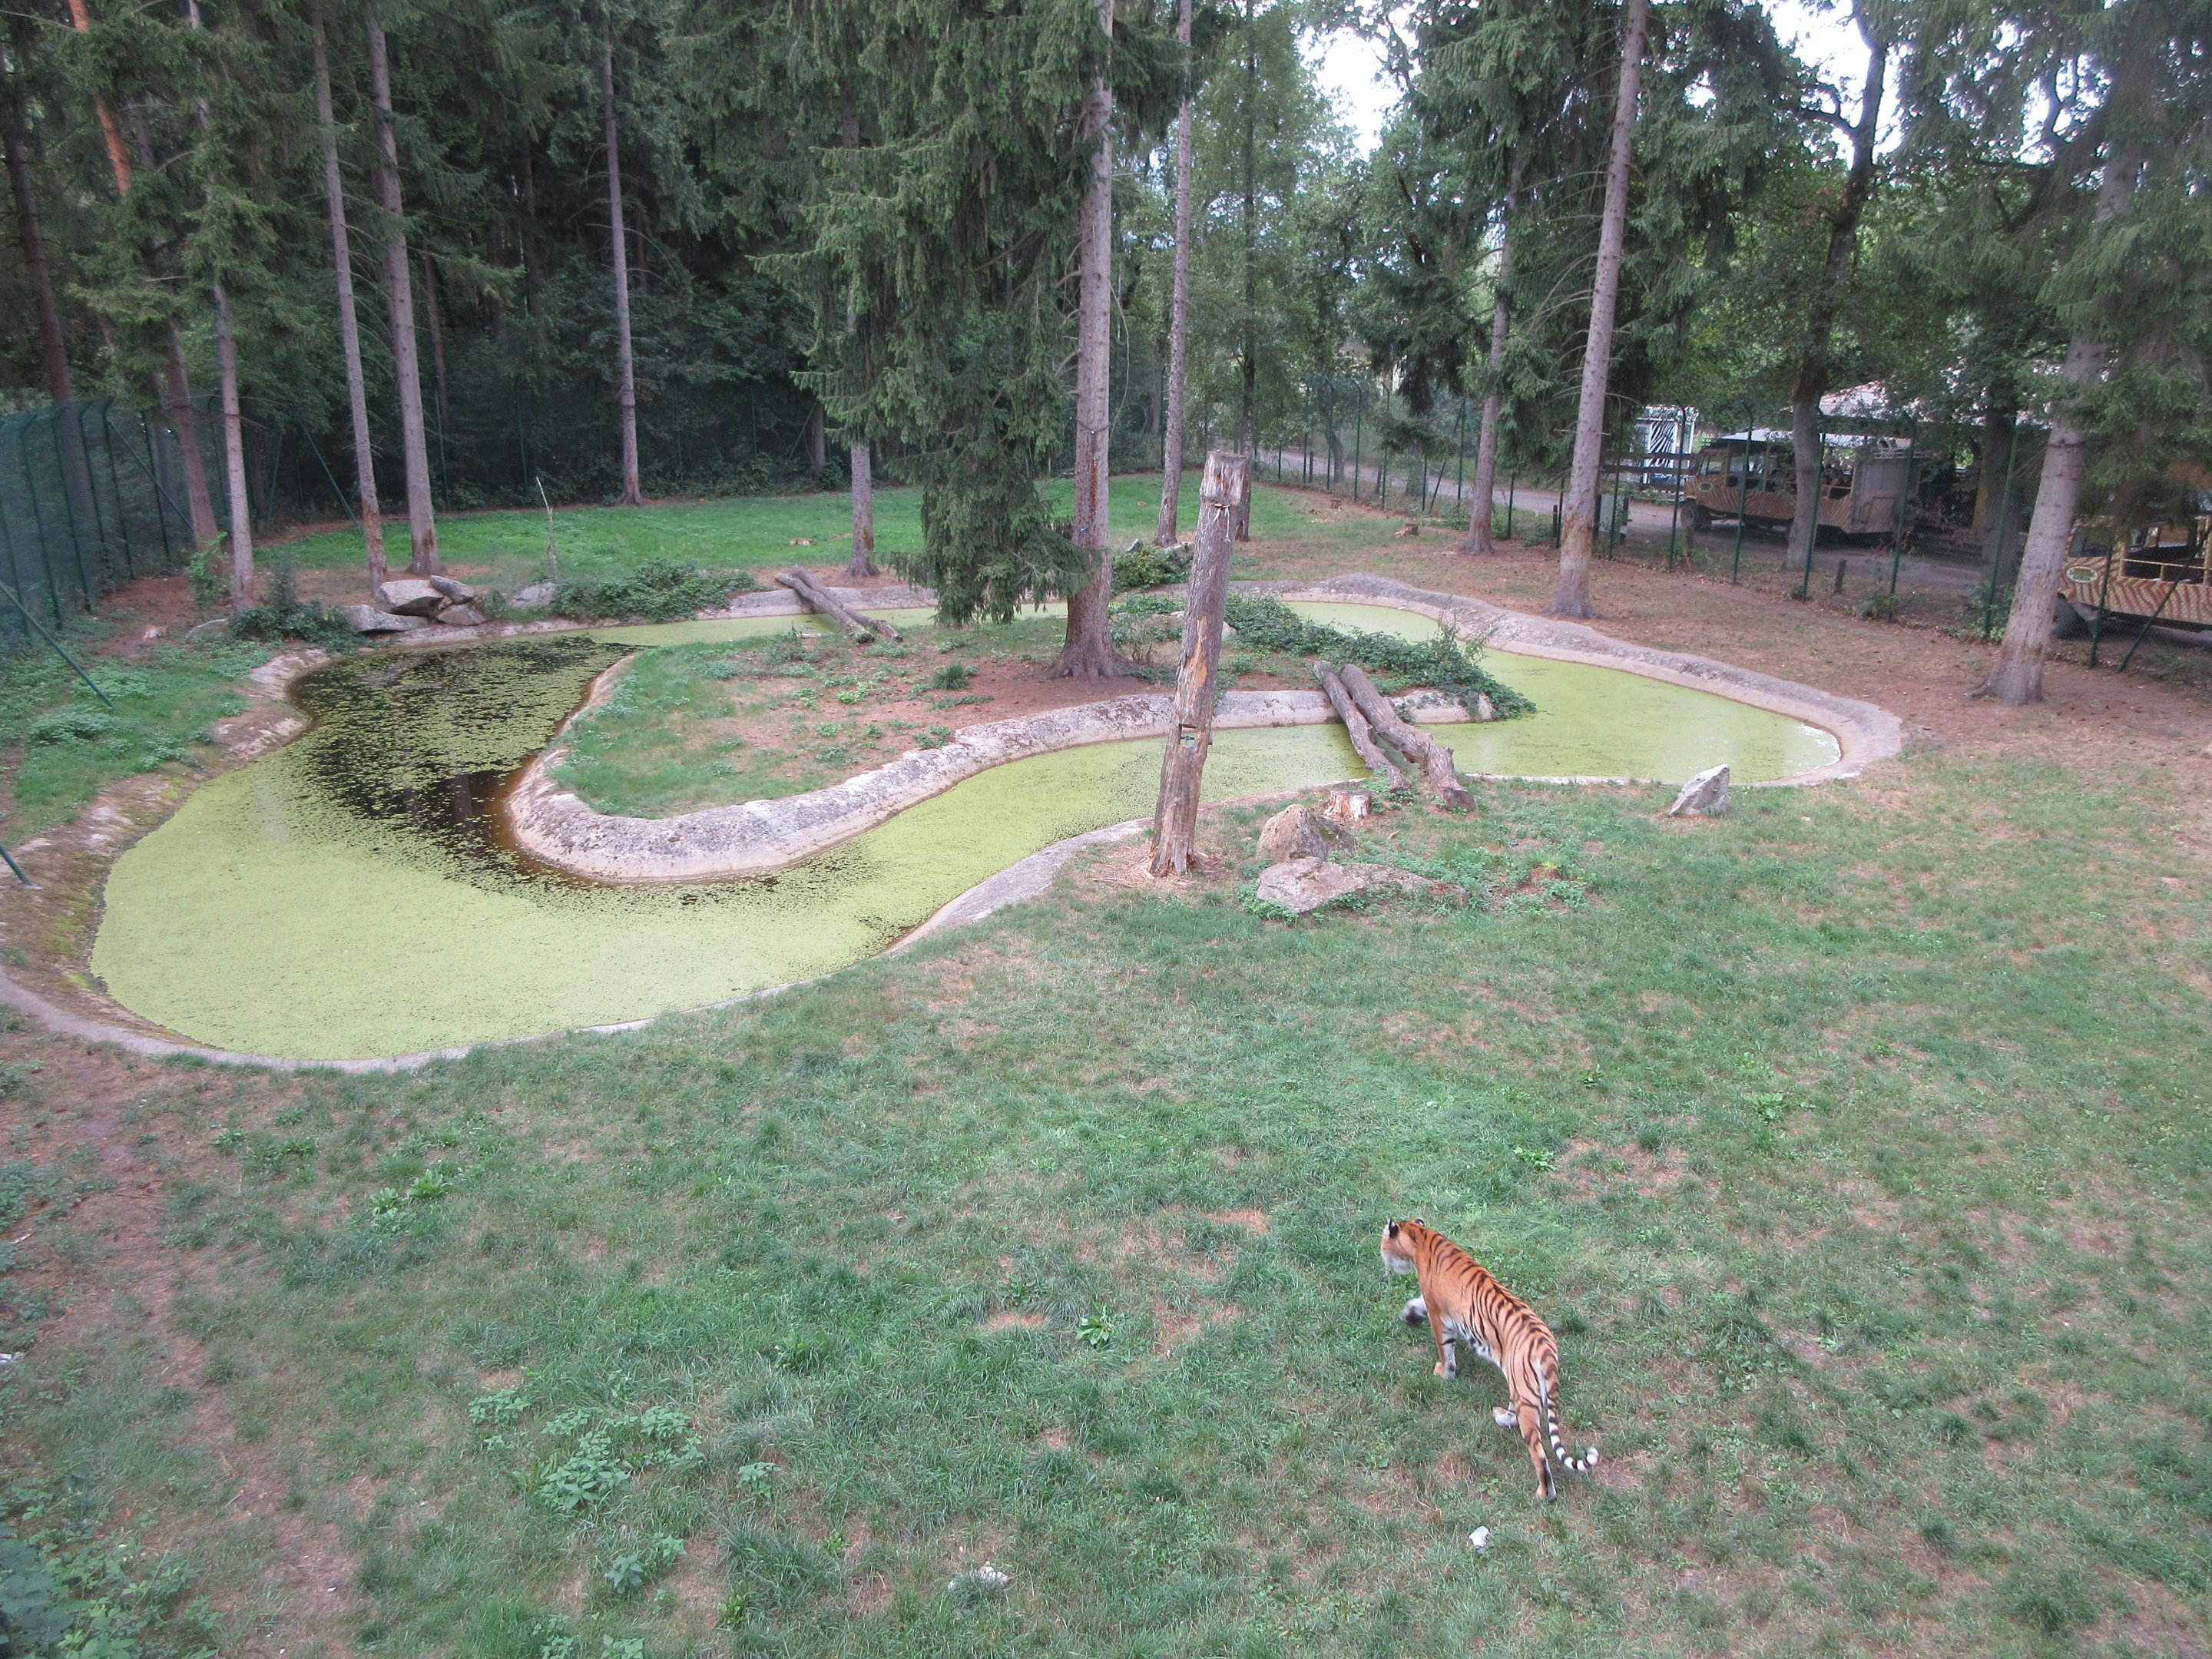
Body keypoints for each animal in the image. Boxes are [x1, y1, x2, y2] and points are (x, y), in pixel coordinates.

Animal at [1379, 1218, 1598, 1501]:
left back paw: (1544, 1494)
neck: (1421, 1237)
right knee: (1519, 1418)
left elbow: (1444, 1348)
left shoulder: (1439, 1313)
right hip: (1524, 1388)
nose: (1382, 1255)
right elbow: (1418, 1306)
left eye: (1384, 1240)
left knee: (1538, 1451)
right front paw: (1409, 1314)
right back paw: (1501, 1417)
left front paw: (1444, 1372)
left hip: (1523, 1390)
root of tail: (1546, 1346)